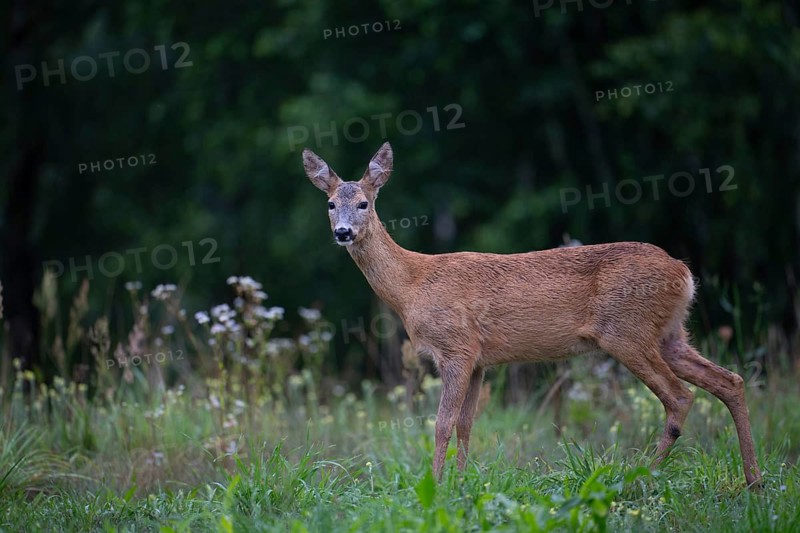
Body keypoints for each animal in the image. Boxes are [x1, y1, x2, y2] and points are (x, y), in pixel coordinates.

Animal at [302, 141, 762, 487]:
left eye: (364, 203)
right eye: (330, 204)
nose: (343, 232)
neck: (412, 285)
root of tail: (684, 273)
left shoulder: (456, 348)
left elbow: (442, 423)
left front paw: (435, 485)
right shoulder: (480, 359)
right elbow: (467, 424)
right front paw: (462, 484)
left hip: (626, 331)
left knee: (680, 396)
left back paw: (640, 475)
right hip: (670, 333)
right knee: (729, 381)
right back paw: (753, 480)